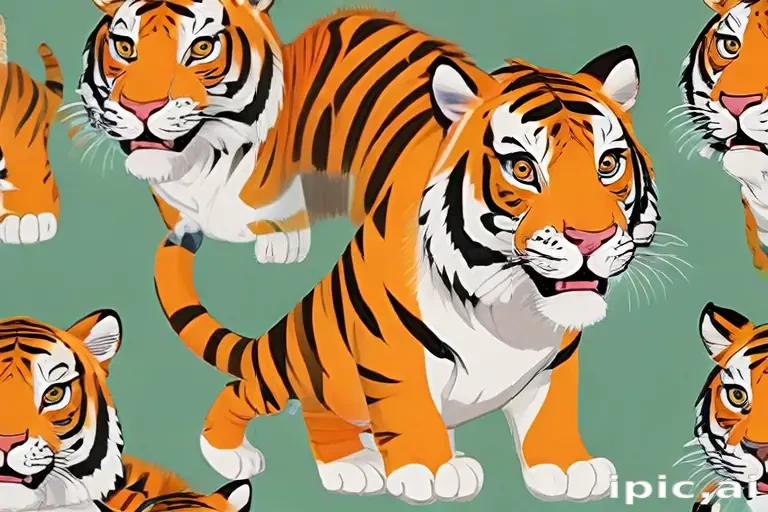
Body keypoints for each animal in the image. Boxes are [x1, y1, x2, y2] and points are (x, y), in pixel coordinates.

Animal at [152, 37, 661, 505]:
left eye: (608, 164)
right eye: (522, 169)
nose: (590, 238)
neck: (511, 306)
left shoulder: (556, 359)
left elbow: (549, 412)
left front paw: (566, 467)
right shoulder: (393, 346)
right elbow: (410, 405)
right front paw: (430, 472)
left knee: (322, 413)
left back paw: (356, 464)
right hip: (295, 368)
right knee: (243, 390)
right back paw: (234, 455)